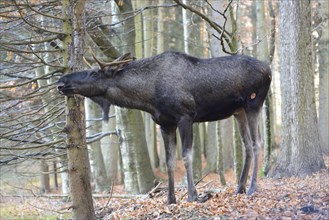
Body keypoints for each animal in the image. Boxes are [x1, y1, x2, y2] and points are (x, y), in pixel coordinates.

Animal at [57, 50, 270, 204]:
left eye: (93, 72)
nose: (61, 82)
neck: (148, 98)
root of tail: (268, 69)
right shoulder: (164, 124)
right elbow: (169, 161)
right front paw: (170, 199)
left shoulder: (186, 117)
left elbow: (186, 156)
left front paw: (194, 195)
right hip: (238, 111)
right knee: (247, 145)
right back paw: (240, 187)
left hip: (254, 103)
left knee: (258, 143)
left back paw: (252, 188)